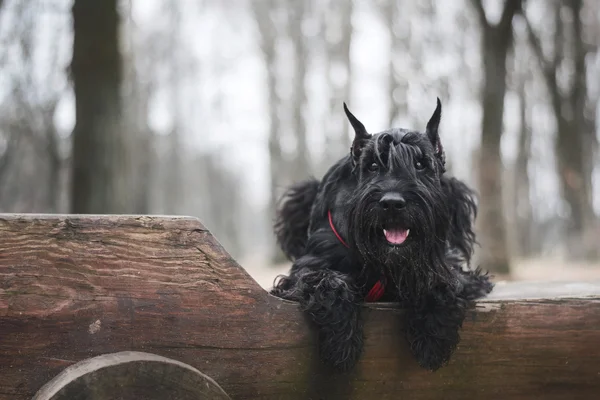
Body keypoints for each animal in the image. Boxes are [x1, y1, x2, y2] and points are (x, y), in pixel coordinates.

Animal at [270, 100, 492, 372]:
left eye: (420, 164)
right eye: (373, 166)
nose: (392, 203)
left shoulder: (445, 265)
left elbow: (443, 282)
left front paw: (432, 339)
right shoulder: (307, 268)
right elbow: (328, 281)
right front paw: (342, 343)